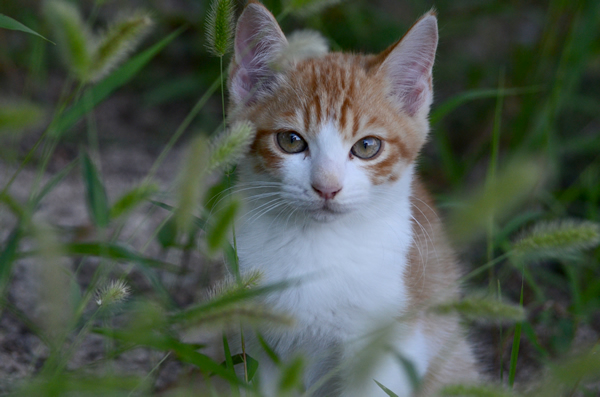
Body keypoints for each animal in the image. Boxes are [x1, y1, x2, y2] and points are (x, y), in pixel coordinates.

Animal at [227, 1, 480, 394]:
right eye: (290, 140)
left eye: (366, 147)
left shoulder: (389, 348)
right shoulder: (254, 339)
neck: (317, 249)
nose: (326, 187)